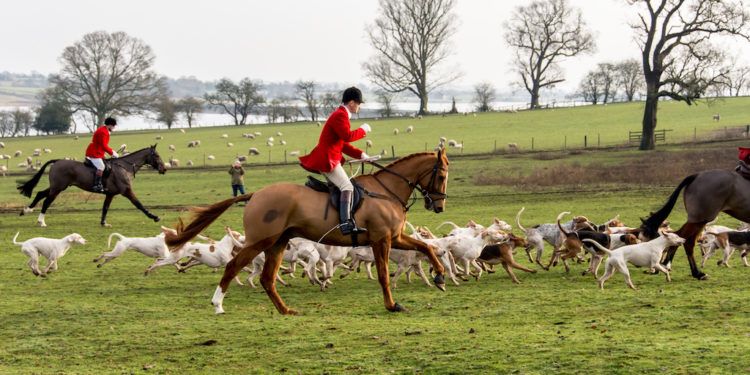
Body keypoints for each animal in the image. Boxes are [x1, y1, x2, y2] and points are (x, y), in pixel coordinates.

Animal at [17, 145, 167, 228]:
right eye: (157, 155)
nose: (164, 169)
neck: (124, 167)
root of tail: (57, 161)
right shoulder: (127, 191)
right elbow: (139, 204)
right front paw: (154, 217)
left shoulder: (110, 194)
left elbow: (105, 208)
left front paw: (104, 223)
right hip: (58, 188)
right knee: (47, 201)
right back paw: (41, 222)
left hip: (57, 187)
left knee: (40, 194)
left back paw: (26, 210)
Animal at [167, 148, 450, 316]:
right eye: (442, 175)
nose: (439, 207)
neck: (386, 190)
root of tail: (256, 194)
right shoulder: (382, 240)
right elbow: (383, 275)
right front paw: (392, 305)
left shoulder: (395, 237)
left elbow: (426, 247)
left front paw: (439, 276)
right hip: (261, 241)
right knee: (233, 266)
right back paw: (217, 304)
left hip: (278, 243)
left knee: (267, 278)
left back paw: (285, 310)